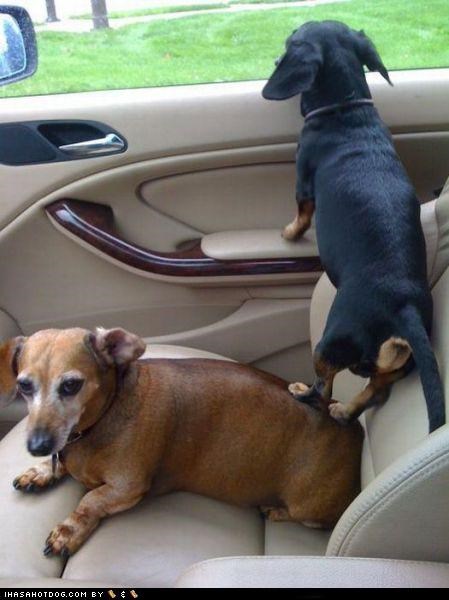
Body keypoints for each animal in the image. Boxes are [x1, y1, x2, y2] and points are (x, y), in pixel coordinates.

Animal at [0, 327, 363, 557]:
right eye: (24, 385)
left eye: (71, 385)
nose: (37, 446)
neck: (106, 413)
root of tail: (352, 430)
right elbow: (59, 467)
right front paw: (40, 471)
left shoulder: (128, 487)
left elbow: (90, 501)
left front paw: (68, 531)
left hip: (308, 506)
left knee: (311, 518)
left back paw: (275, 510)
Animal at [262, 20, 445, 432]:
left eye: (292, 37)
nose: (276, 55)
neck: (346, 110)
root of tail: (405, 307)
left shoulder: (303, 181)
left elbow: (302, 213)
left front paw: (289, 233)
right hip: (393, 365)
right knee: (375, 390)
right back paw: (346, 411)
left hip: (329, 342)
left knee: (322, 389)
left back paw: (303, 391)